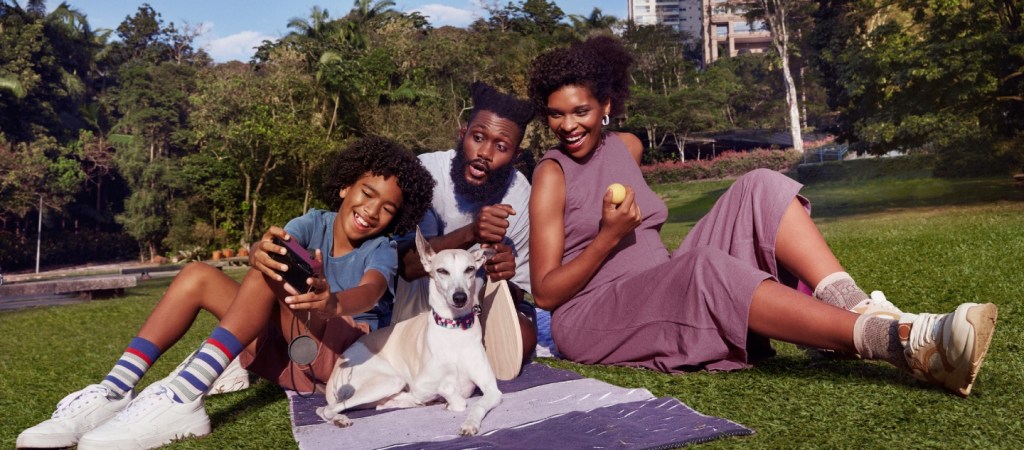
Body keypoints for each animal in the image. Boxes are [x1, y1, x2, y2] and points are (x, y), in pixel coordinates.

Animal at [315, 228, 499, 436]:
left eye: (469, 269)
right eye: (442, 271)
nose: (459, 297)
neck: (454, 329)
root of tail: (336, 367)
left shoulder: (492, 390)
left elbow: (477, 405)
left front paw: (469, 423)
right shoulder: (421, 384)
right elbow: (451, 392)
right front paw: (448, 400)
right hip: (390, 380)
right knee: (325, 409)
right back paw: (340, 419)